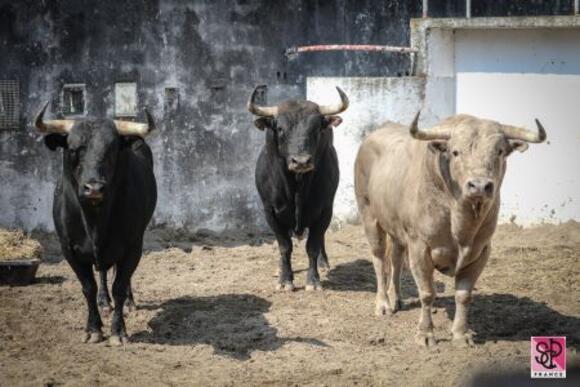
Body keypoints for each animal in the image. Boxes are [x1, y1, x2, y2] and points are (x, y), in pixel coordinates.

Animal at [37, 106, 157, 346]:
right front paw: (93, 329)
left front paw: (118, 331)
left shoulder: (133, 246)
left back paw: (129, 303)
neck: (95, 223)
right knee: (101, 272)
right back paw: (104, 301)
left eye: (111, 150)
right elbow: (88, 287)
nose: (93, 188)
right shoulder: (68, 249)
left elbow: (120, 285)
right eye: (73, 149)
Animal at [354, 113, 548, 348]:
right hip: (370, 218)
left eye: (499, 151)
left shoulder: (481, 251)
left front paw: (461, 334)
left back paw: (396, 299)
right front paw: (425, 334)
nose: (480, 186)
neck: (461, 223)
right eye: (455, 152)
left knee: (396, 259)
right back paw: (383, 304)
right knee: (380, 260)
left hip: (397, 230)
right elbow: (427, 293)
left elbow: (463, 295)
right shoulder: (419, 247)